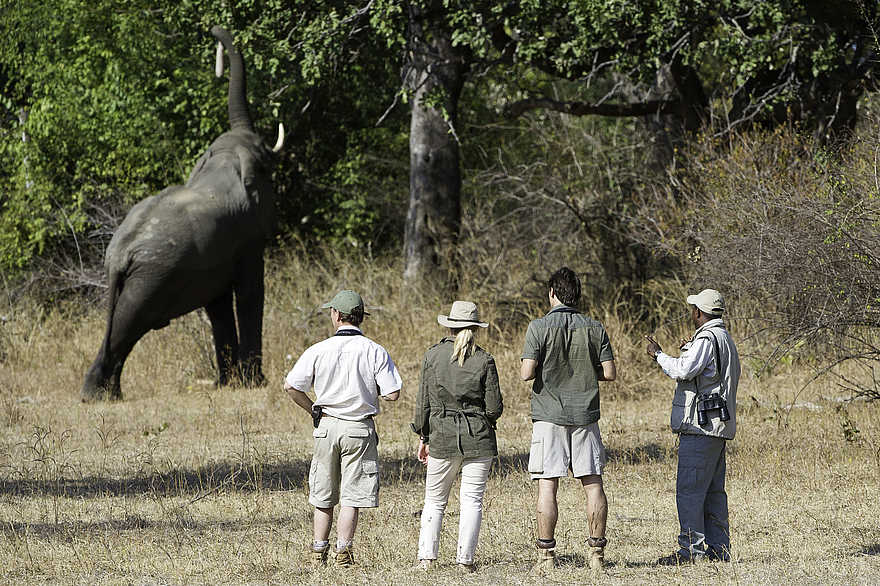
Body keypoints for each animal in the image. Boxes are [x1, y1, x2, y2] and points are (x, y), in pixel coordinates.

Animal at [81, 26, 284, 401]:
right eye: (266, 162)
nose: (216, 33)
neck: (224, 162)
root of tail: (118, 255)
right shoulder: (247, 239)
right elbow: (250, 293)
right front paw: (254, 383)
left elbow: (219, 306)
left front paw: (229, 384)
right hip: (150, 278)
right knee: (127, 326)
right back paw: (100, 396)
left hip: (142, 278)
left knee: (121, 328)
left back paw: (106, 395)